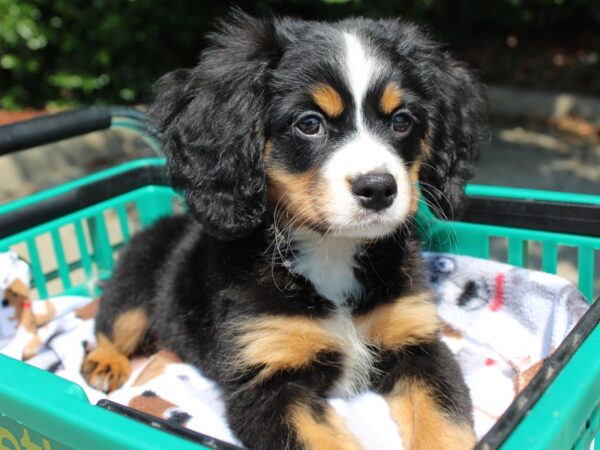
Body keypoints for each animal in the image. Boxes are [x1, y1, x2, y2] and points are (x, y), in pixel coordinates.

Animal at [83, 11, 488, 450]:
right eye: (309, 124)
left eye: (402, 121)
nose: (379, 188)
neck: (332, 251)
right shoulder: (264, 376)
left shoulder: (418, 344)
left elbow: (445, 422)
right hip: (135, 281)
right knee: (110, 325)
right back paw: (103, 364)